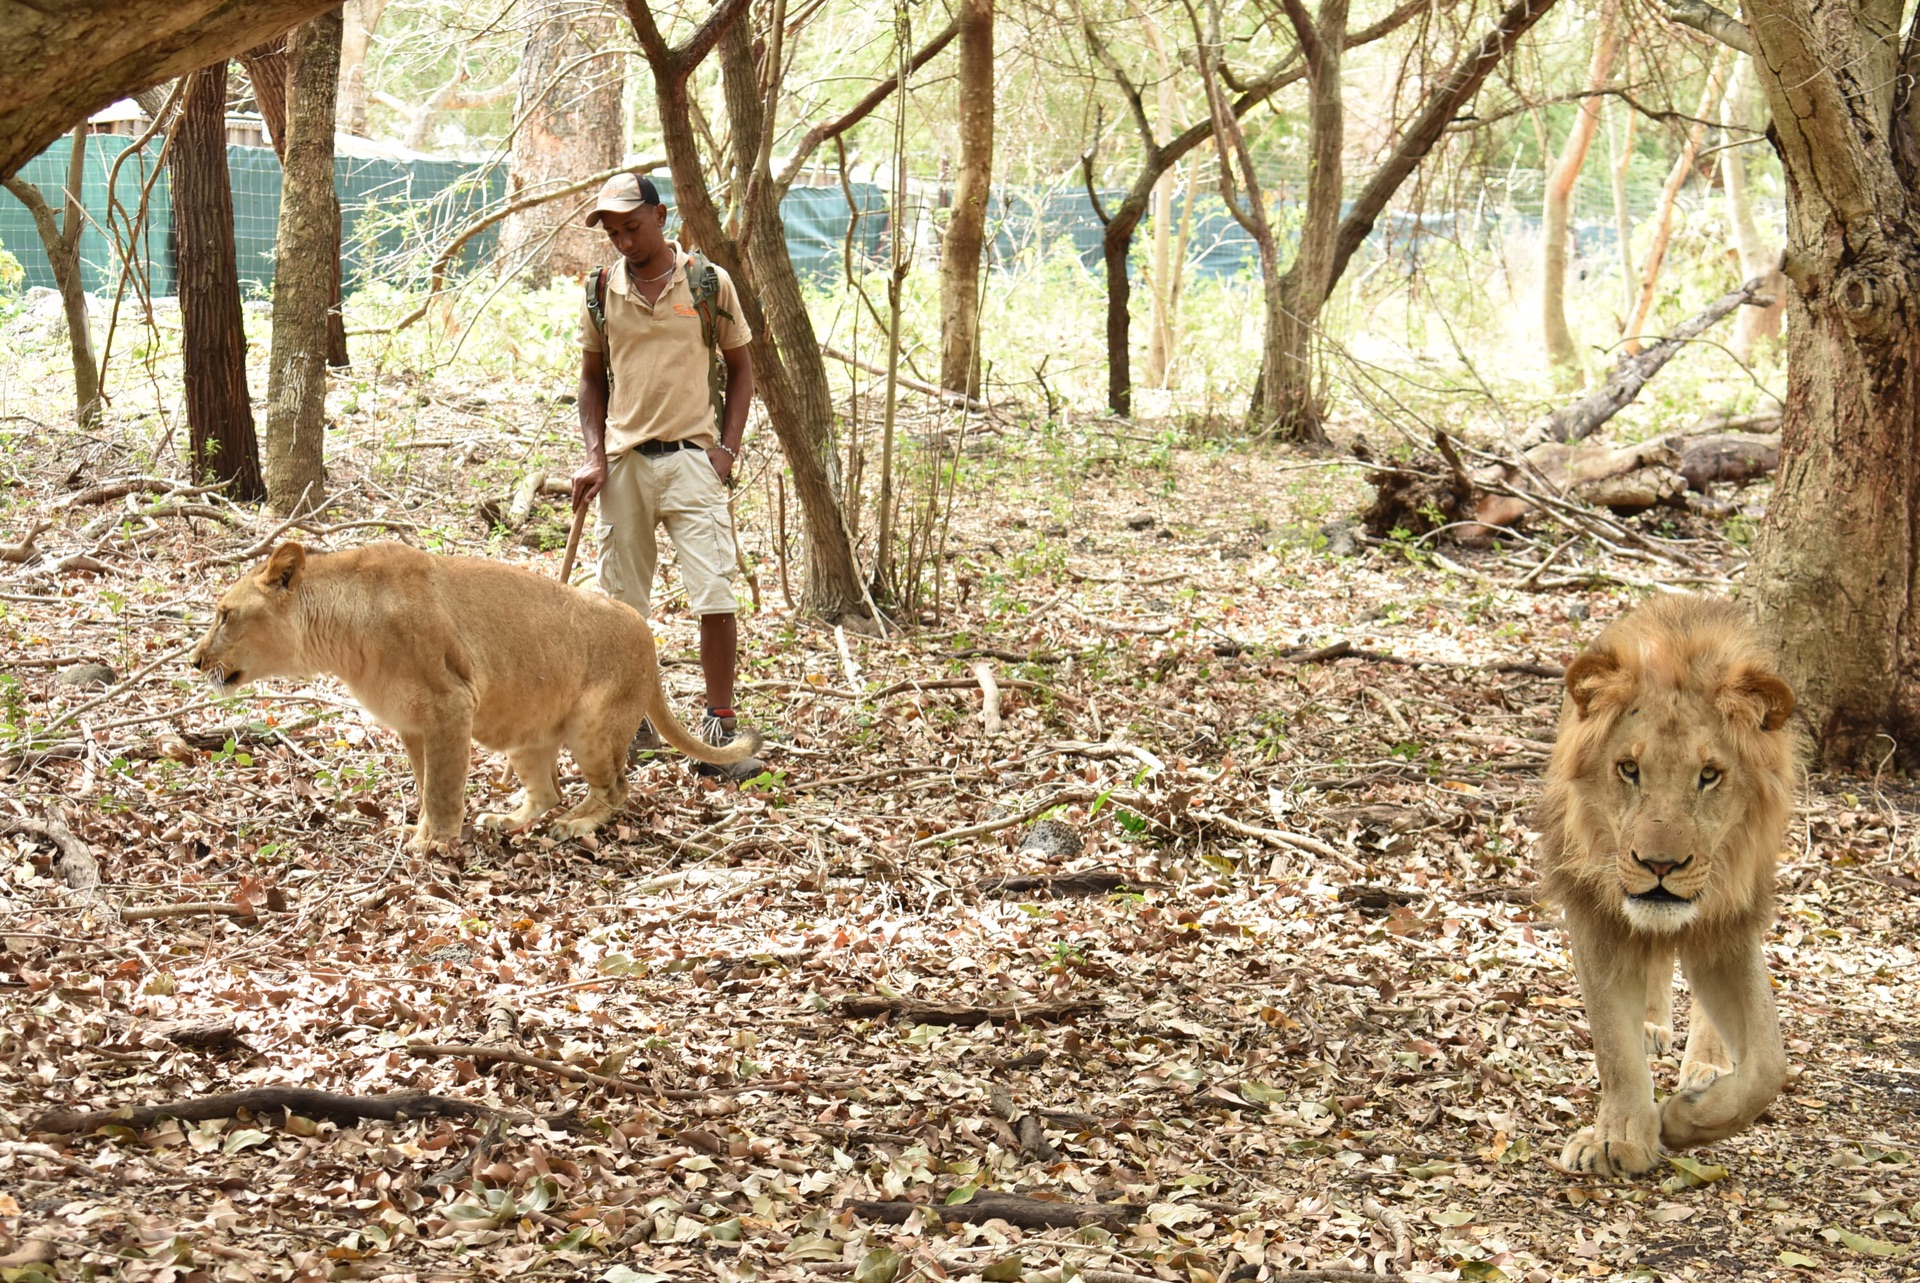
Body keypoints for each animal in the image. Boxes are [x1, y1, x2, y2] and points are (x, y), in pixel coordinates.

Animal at [192, 541, 764, 852]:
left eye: (225, 614)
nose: (195, 661)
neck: (340, 631)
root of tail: (648, 636)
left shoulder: (451, 704)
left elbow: (442, 787)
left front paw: (432, 843)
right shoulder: (413, 723)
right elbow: (428, 782)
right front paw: (427, 831)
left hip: (594, 730)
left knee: (616, 789)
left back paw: (575, 824)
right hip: (527, 737)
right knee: (548, 791)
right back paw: (506, 821)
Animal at [1536, 595, 1789, 1175]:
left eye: (1710, 775)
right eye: (1629, 768)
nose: (1659, 865)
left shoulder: (1730, 922)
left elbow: (1768, 1067)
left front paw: (1683, 1117)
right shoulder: (1594, 912)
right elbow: (1612, 1041)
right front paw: (1620, 1138)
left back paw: (1707, 1065)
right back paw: (1652, 1028)